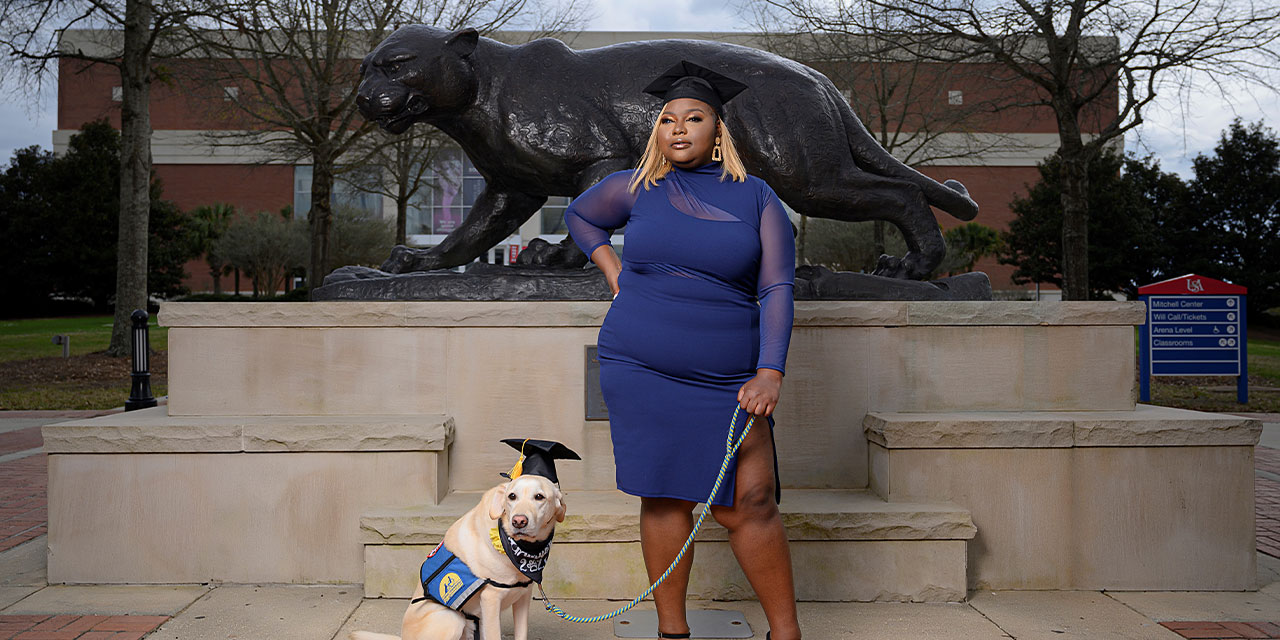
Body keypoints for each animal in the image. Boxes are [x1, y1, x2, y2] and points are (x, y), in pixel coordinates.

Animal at [353, 476, 568, 640]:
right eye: (512, 496)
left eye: (539, 497)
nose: (519, 521)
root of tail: (403, 638)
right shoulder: (491, 599)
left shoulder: (523, 598)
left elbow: (521, 634)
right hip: (451, 618)